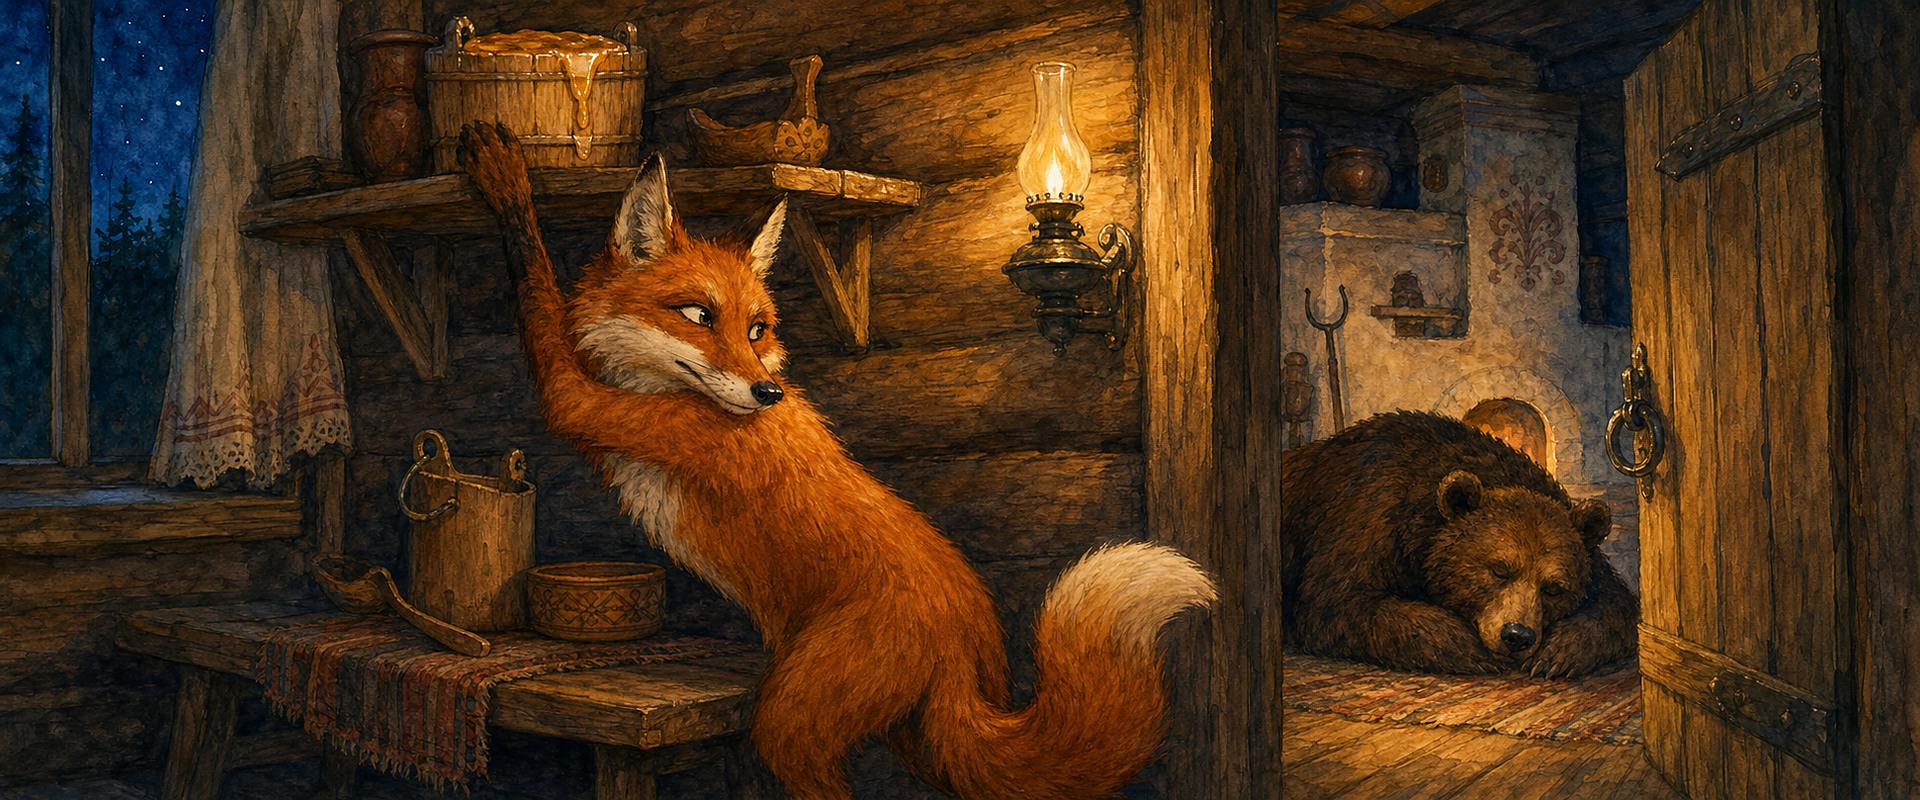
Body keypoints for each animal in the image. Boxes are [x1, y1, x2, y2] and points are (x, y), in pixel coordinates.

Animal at [454, 121, 1215, 800]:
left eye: (756, 328)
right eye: (699, 315)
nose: (767, 392)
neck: (667, 393)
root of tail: (969, 636)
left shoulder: (592, 407)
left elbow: (539, 294)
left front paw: (507, 179)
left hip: (790, 724)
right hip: (920, 740)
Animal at [1280, 411, 1638, 677]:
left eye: (1553, 588)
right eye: (1498, 570)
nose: (1517, 636)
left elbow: (1617, 604)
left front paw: (1558, 652)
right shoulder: (1365, 515)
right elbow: (1337, 602)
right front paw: (1468, 647)